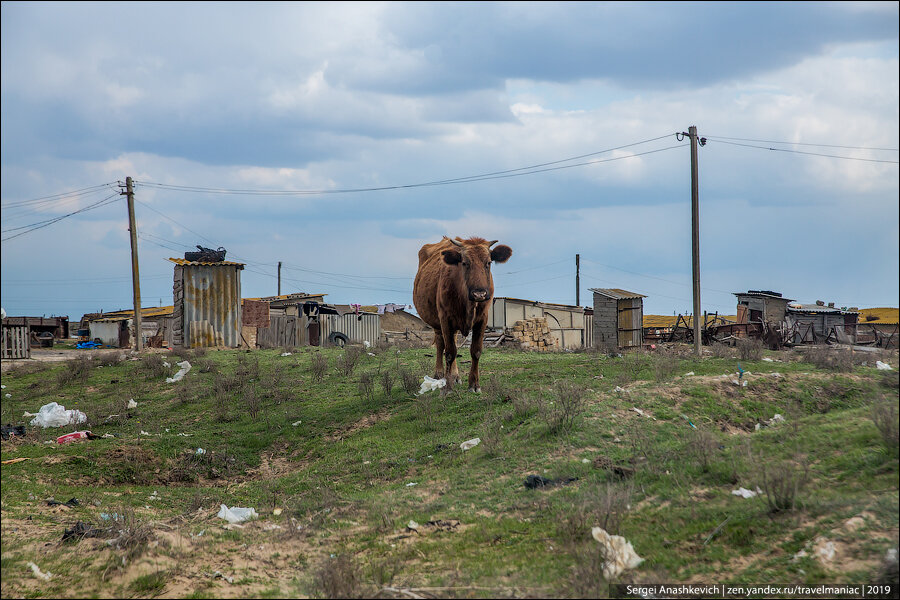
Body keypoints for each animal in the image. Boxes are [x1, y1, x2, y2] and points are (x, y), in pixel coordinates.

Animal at [414, 237, 512, 392]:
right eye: (465, 263)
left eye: (488, 263)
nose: (479, 294)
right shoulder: (445, 319)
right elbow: (449, 353)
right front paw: (447, 386)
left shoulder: (482, 319)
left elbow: (476, 351)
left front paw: (474, 384)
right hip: (437, 323)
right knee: (441, 345)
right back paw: (439, 375)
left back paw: (455, 376)